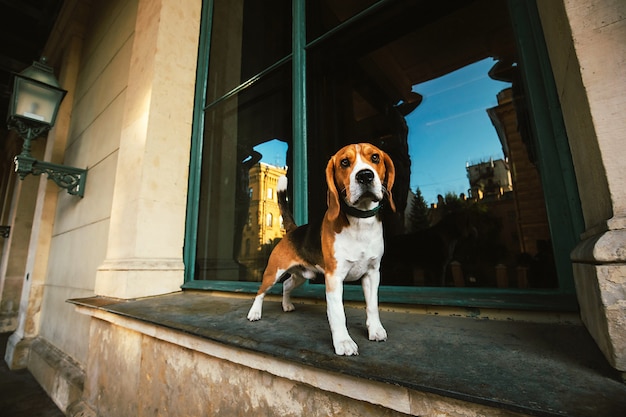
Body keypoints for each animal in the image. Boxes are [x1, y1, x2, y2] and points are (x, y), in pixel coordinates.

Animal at [246, 143, 392, 354]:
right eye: (344, 162)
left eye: (375, 157)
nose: (365, 175)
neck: (360, 222)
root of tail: (293, 230)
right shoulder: (334, 278)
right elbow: (338, 313)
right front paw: (343, 342)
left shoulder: (372, 274)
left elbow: (372, 306)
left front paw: (375, 330)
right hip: (273, 272)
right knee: (261, 291)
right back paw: (254, 313)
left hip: (301, 274)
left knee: (286, 285)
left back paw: (287, 305)